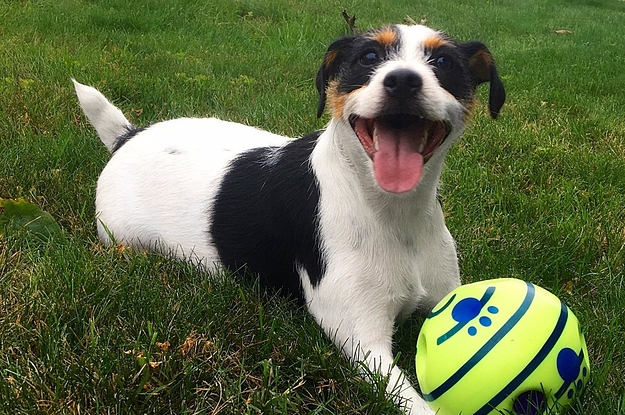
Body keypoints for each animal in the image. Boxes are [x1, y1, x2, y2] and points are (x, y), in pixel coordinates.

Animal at [74, 24, 502, 414]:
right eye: (368, 57)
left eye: (444, 62)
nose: (403, 81)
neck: (392, 212)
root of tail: (127, 137)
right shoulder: (365, 347)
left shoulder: (442, 299)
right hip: (121, 236)